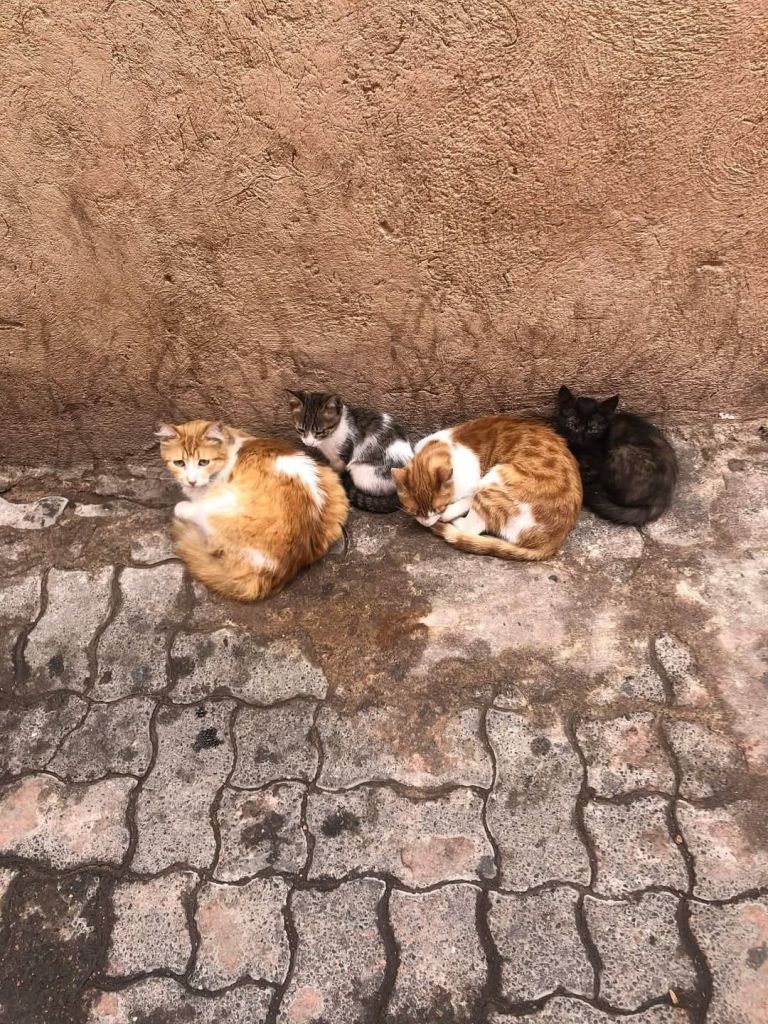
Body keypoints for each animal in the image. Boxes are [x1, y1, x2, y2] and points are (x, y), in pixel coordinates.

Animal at [391, 415, 582, 560]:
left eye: (439, 508)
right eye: (414, 512)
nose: (426, 523)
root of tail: (552, 542)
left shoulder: (475, 482)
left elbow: (466, 498)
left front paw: (447, 513)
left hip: (497, 477)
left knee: (471, 527)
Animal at [555, 386, 678, 526]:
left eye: (593, 429)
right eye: (572, 425)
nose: (579, 440)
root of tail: (661, 500)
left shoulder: (597, 463)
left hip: (621, 452)